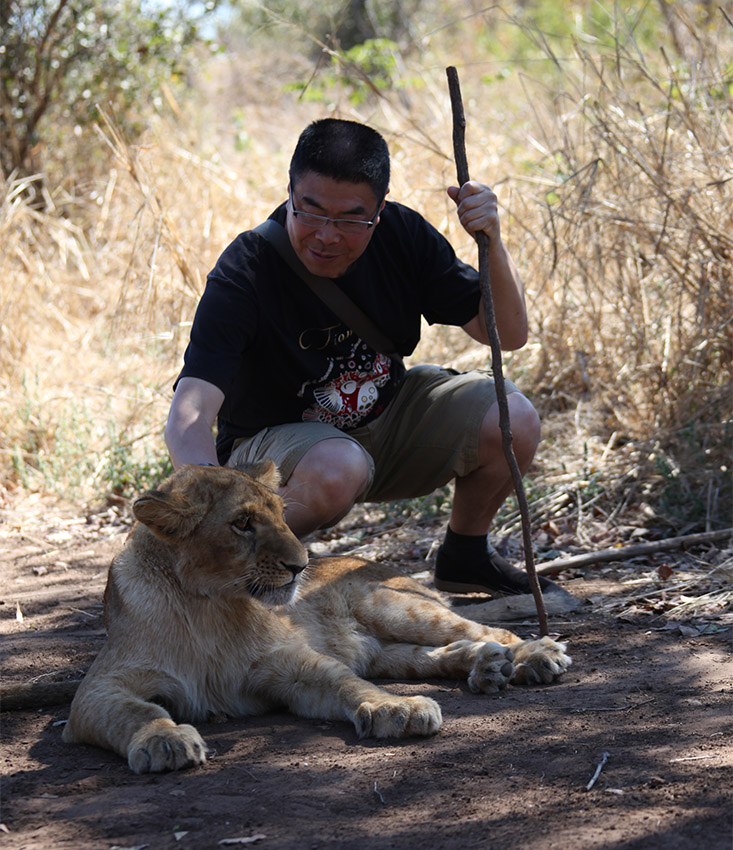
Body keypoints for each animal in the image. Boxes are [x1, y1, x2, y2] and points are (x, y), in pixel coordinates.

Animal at [61, 460, 572, 772]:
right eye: (242, 523)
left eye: (281, 514)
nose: (301, 565)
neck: (208, 604)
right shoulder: (98, 689)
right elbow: (136, 710)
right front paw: (163, 741)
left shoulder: (288, 664)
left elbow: (346, 684)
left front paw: (397, 709)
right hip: (386, 651)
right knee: (440, 651)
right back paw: (486, 666)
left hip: (392, 606)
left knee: (490, 628)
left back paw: (535, 656)